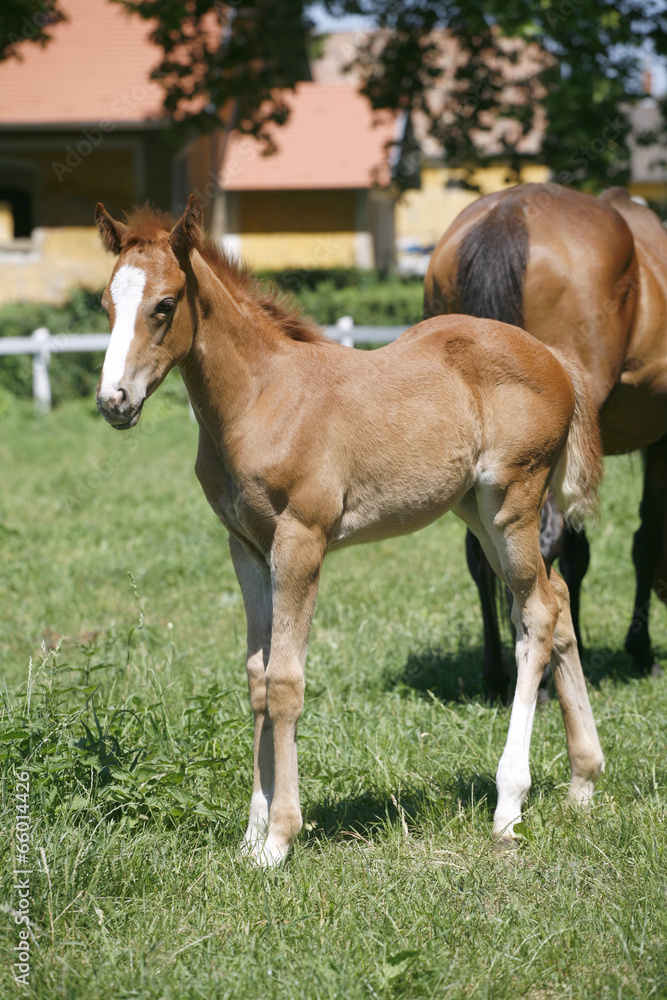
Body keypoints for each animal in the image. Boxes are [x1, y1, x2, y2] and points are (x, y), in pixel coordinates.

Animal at [98, 195, 604, 868]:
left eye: (165, 304)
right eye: (106, 303)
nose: (114, 401)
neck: (261, 400)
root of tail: (556, 360)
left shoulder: (301, 540)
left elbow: (285, 681)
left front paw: (279, 838)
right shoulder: (246, 547)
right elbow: (256, 677)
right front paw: (250, 835)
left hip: (512, 503)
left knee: (538, 615)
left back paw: (509, 803)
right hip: (475, 510)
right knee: (557, 599)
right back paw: (583, 781)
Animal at [426, 182, 667, 704]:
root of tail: (509, 213)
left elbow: (578, 555)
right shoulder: (661, 438)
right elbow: (644, 536)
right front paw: (639, 650)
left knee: (483, 550)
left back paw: (497, 672)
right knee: (538, 542)